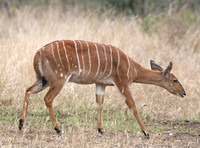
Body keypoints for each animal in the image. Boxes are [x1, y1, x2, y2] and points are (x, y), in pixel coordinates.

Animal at [18, 39, 186, 139]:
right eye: (175, 80)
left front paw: (100, 129)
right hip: (59, 79)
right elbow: (132, 106)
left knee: (28, 91)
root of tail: (39, 52)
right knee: (47, 98)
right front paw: (146, 132)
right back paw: (58, 129)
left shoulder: (101, 84)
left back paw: (21, 124)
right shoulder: (122, 83)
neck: (133, 68)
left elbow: (99, 103)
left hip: (44, 80)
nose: (183, 93)